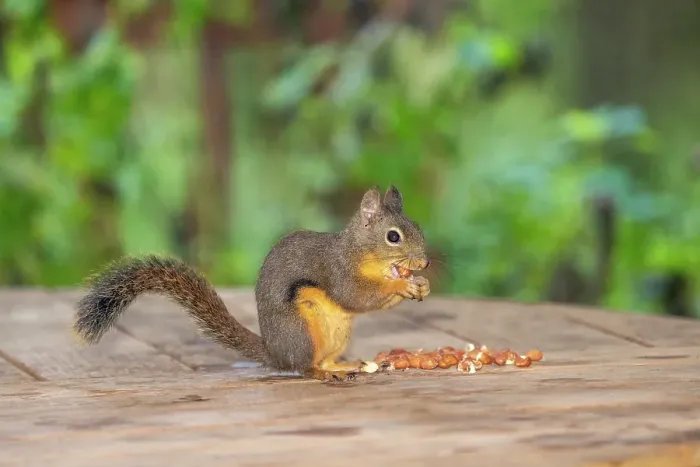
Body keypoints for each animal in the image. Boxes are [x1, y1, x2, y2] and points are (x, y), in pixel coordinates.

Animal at [73, 185, 431, 382]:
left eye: (417, 226)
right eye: (393, 237)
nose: (425, 262)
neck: (359, 251)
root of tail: (275, 353)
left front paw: (422, 284)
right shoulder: (337, 270)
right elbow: (356, 297)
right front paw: (402, 287)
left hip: (337, 334)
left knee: (319, 359)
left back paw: (345, 365)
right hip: (301, 330)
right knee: (304, 367)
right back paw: (324, 373)